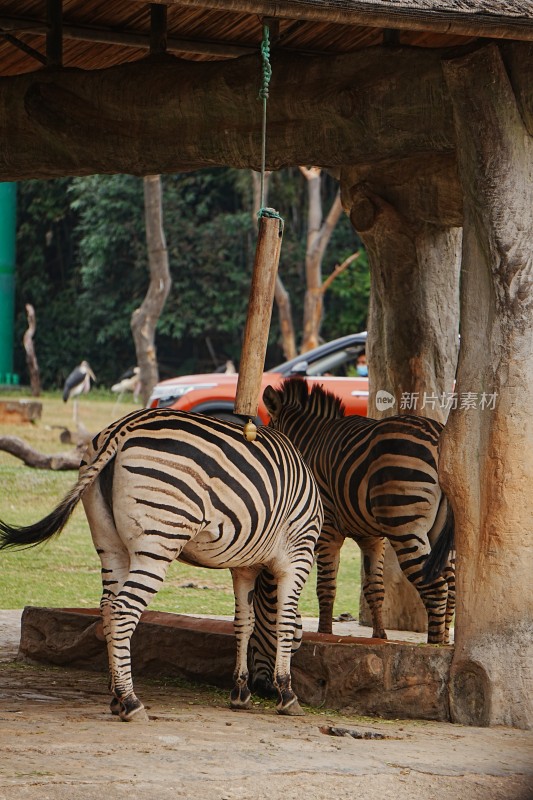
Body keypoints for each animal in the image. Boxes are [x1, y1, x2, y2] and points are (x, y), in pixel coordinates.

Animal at [0, 406, 322, 720]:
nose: (263, 689)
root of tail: (121, 429)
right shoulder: (299, 553)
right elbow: (284, 621)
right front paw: (287, 695)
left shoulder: (244, 566)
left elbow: (244, 622)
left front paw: (240, 692)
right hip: (159, 540)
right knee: (122, 609)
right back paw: (130, 701)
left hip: (110, 544)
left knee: (107, 606)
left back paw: (116, 697)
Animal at [262, 378, 454, 648]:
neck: (311, 440)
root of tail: (438, 435)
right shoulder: (373, 537)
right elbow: (374, 588)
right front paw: (379, 637)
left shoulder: (327, 528)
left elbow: (326, 586)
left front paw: (324, 635)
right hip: (442, 530)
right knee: (453, 587)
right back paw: (446, 643)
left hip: (405, 523)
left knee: (436, 588)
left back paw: (433, 647)